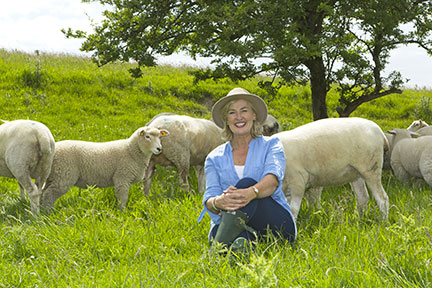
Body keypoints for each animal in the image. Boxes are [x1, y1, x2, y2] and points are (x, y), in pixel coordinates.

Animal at [40, 127, 168, 210]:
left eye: (160, 137)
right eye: (147, 137)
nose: (159, 149)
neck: (131, 151)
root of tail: (53, 151)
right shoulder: (122, 178)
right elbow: (123, 198)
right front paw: (122, 212)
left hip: (53, 176)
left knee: (42, 192)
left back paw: (41, 210)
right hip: (64, 175)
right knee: (49, 195)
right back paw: (48, 212)